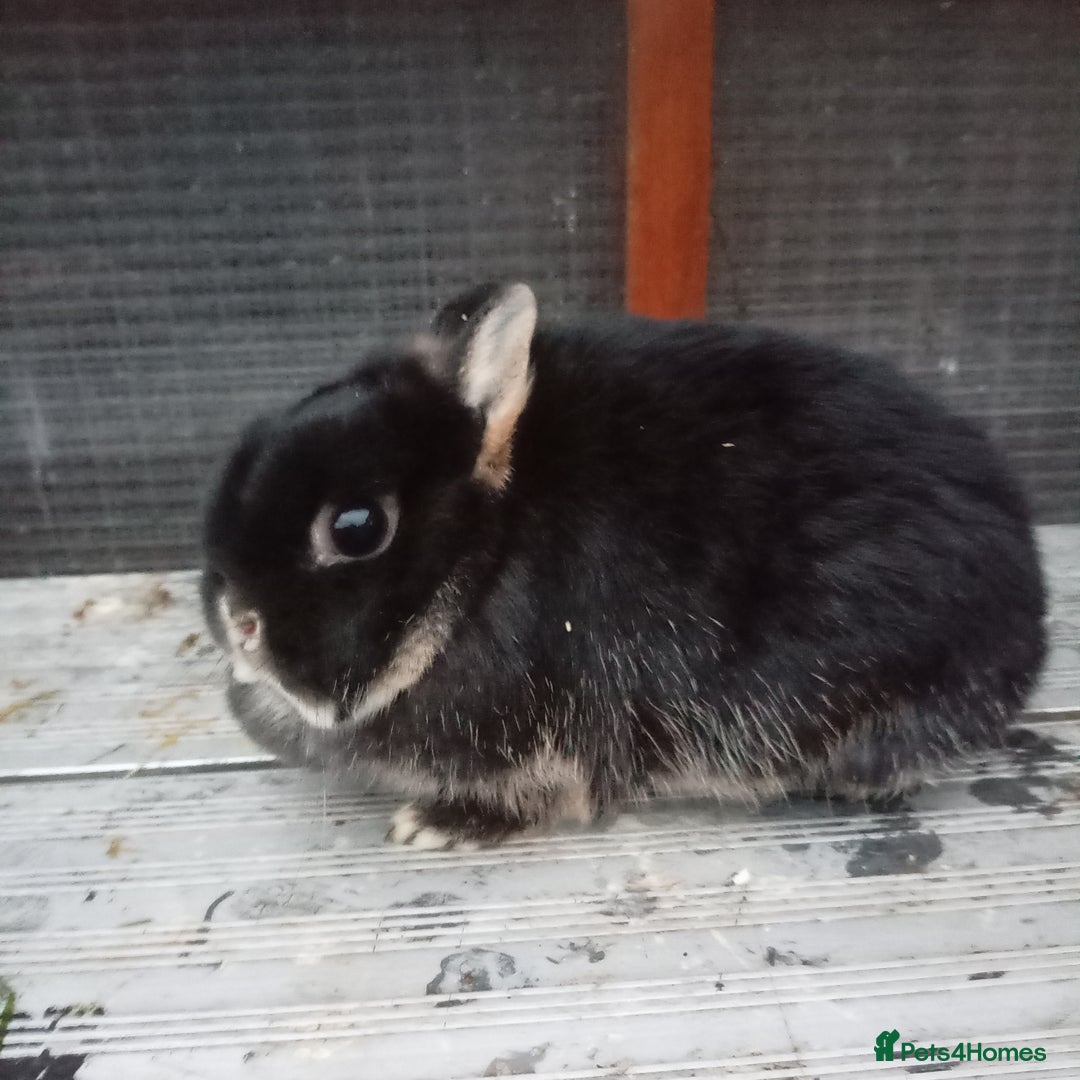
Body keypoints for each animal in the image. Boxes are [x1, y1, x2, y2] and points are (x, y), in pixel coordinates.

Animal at [202, 282, 1047, 849]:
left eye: (358, 527)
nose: (237, 623)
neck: (485, 563)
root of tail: (1030, 610)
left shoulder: (549, 744)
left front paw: (436, 825)